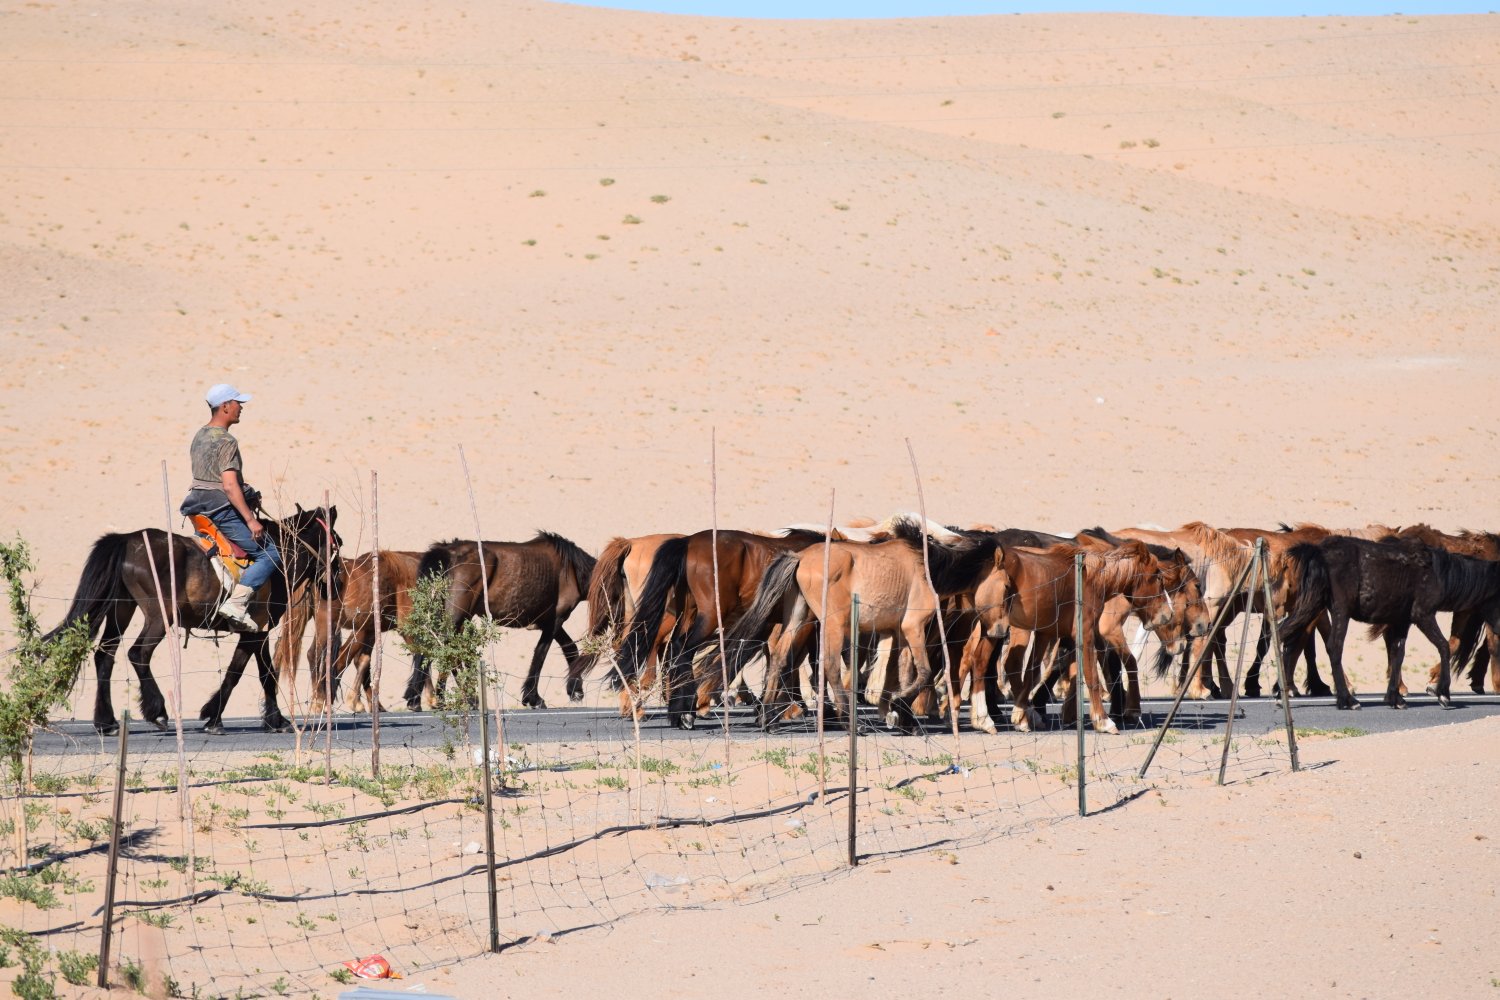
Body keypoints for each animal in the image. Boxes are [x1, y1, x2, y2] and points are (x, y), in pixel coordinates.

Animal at [41, 504, 340, 735]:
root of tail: (127, 539)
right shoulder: (255, 632)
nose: (338, 581)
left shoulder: (256, 630)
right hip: (161, 615)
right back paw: (157, 711)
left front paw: (273, 719)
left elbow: (262, 673)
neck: (281, 559)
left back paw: (106, 722)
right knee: (138, 653)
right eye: (338, 541)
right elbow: (242, 673)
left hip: (121, 609)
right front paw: (216, 716)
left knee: (106, 655)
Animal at [402, 532, 597, 711]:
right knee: (442, 648)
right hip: (456, 616)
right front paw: (534, 698)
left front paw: (574, 690)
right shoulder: (555, 620)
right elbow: (541, 655)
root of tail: (447, 551)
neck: (572, 569)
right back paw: (430, 699)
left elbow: (569, 647)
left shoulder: (547, 622)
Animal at [1277, 535, 1500, 710]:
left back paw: (1282, 695)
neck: (1438, 572)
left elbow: (1397, 654)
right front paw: (1443, 694)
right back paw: (1348, 700)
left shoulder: (1402, 621)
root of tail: (1319, 552)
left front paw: (1395, 697)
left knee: (1285, 637)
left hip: (1312, 605)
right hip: (1340, 611)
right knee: (1333, 647)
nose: (1498, 628)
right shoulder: (1423, 615)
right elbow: (1444, 646)